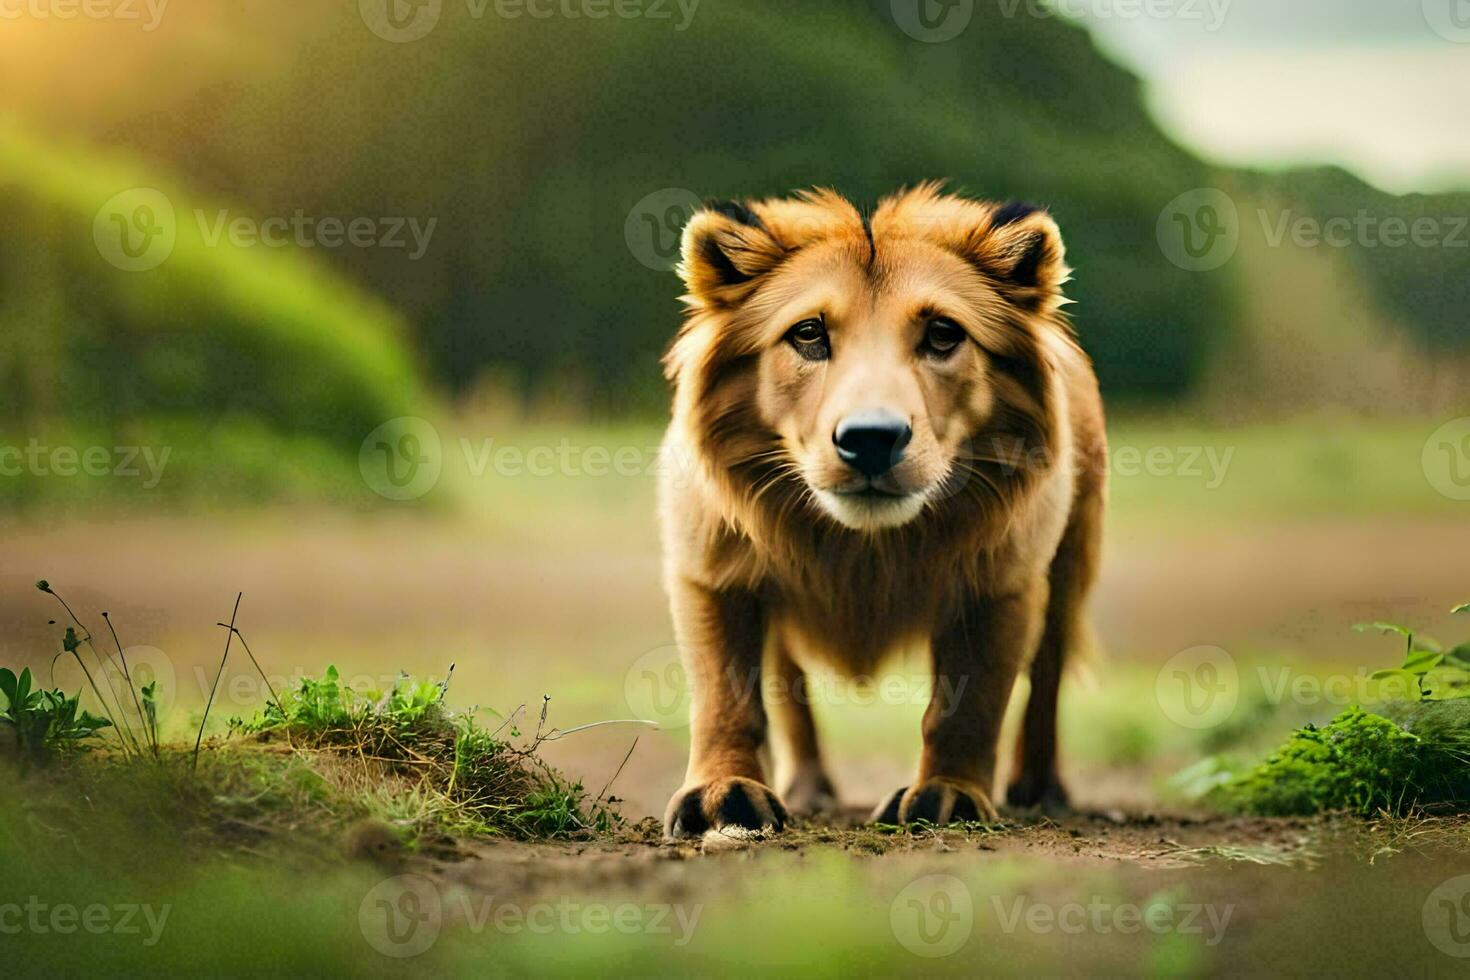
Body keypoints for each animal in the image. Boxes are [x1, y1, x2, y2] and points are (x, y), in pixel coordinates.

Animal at [655, 183, 1105, 834]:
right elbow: (726, 697)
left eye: (942, 334)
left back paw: (1041, 789)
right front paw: (723, 793)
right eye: (809, 333)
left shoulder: (1001, 583)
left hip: (1070, 565)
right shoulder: (713, 573)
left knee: (1046, 679)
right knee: (788, 685)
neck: (862, 548)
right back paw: (809, 786)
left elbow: (969, 708)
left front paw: (950, 795)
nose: (870, 438)